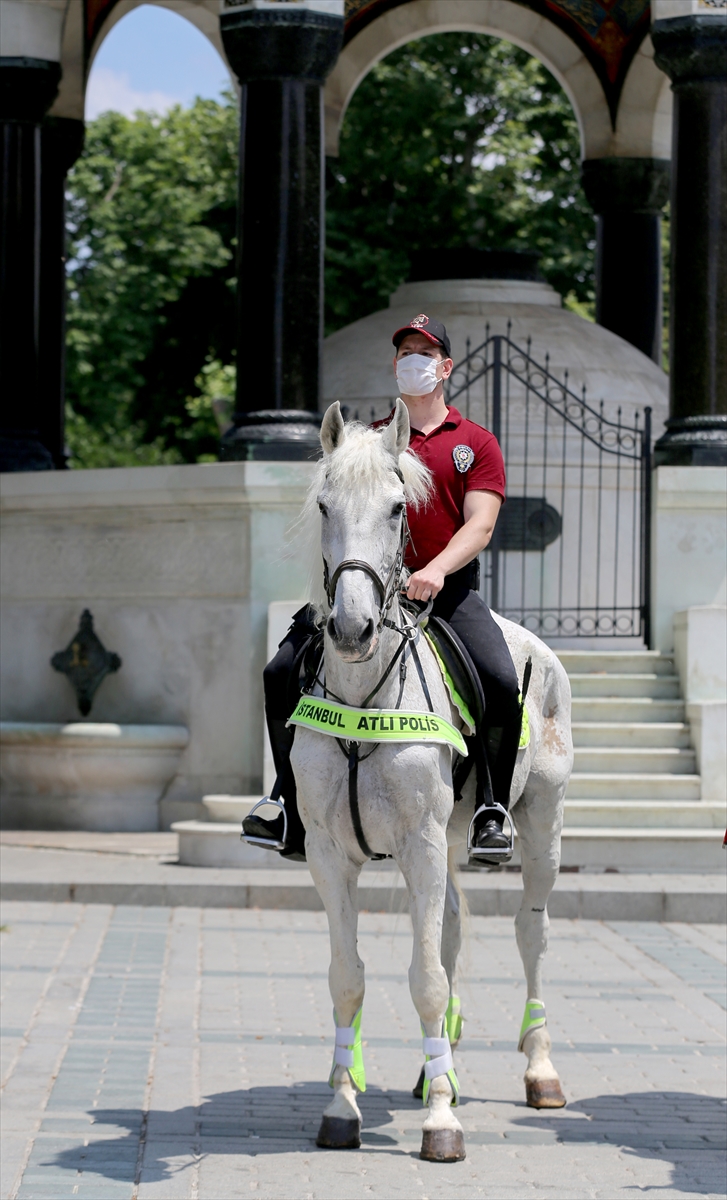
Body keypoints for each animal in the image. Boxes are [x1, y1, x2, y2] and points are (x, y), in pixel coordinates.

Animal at [290, 400, 575, 1161]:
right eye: (324, 504)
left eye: (397, 509)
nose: (352, 627)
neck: (364, 698)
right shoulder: (330, 853)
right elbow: (347, 978)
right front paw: (342, 1105)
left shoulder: (417, 844)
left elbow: (423, 978)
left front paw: (442, 1124)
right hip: (446, 842)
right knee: (448, 928)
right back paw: (432, 1070)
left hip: (540, 825)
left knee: (532, 934)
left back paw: (539, 1071)